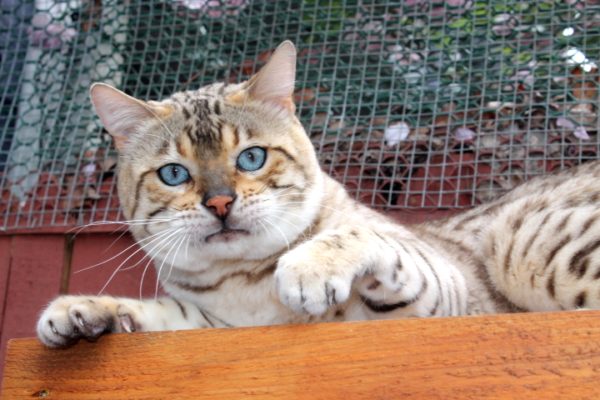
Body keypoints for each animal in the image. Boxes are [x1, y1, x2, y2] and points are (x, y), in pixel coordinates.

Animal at [36, 39, 600, 346]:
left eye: (251, 158)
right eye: (174, 174)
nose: (219, 203)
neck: (244, 285)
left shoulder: (446, 297)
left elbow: (374, 243)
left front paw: (310, 267)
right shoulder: (215, 326)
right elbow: (161, 316)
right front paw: (78, 314)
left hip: (522, 244)